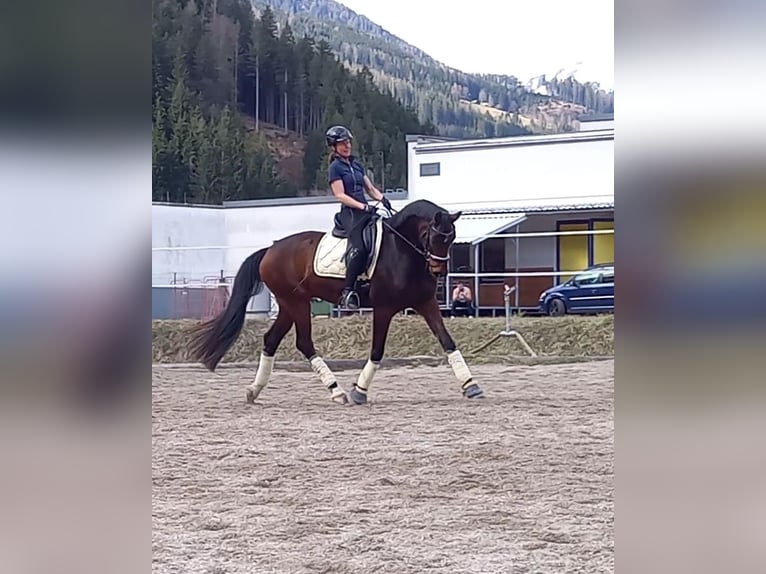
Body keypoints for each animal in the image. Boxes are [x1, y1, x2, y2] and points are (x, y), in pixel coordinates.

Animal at [188, 200, 486, 408]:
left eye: (451, 237)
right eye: (434, 237)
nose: (439, 270)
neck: (402, 250)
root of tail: (270, 249)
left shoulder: (425, 303)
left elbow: (448, 342)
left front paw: (470, 385)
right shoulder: (384, 308)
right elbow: (377, 350)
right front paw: (359, 391)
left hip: (288, 304)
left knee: (271, 340)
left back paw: (254, 390)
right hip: (296, 302)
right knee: (304, 343)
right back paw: (337, 391)